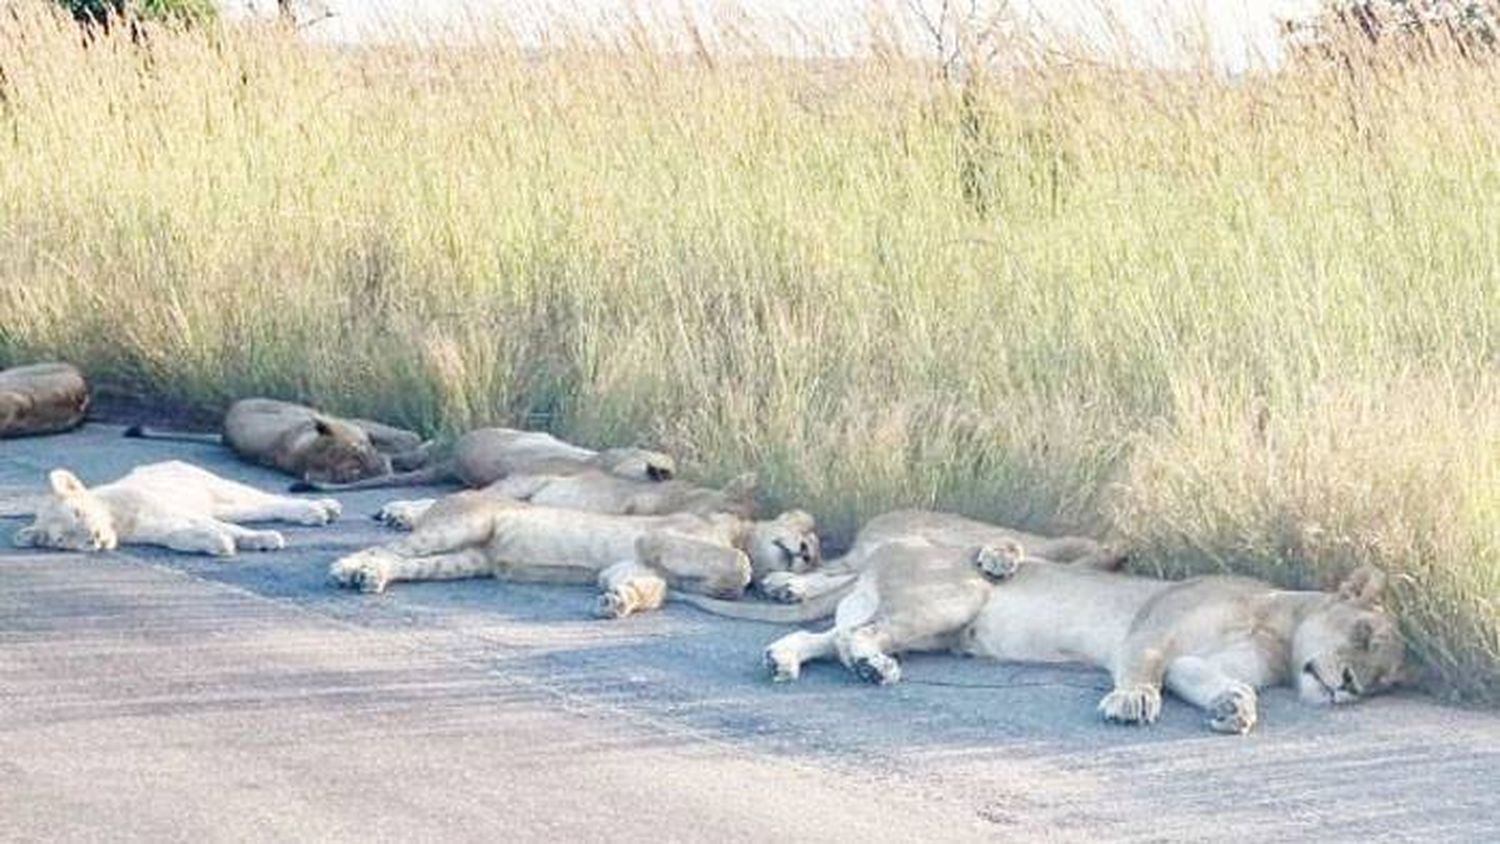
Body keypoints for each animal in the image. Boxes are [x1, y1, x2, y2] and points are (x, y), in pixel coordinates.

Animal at [11, 461, 342, 554]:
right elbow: (183, 537)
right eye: (62, 539)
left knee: (269, 499)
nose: (93, 539)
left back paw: (320, 509)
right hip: (223, 505)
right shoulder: (162, 530)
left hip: (219, 488)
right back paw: (322, 510)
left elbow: (230, 529)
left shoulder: (176, 511)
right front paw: (218, 545)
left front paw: (261, 539)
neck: (119, 521)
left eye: (78, 513)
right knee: (259, 509)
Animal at [125, 398, 432, 485]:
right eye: (353, 469)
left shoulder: (358, 427)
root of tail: (223, 434)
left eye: (360, 450)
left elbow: (401, 439)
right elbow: (405, 442)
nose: (379, 468)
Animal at [328, 488, 822, 620]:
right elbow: (740, 566)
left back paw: (371, 578)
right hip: (465, 523)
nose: (802, 554)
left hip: (464, 560)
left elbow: (645, 589)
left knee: (403, 563)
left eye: (814, 556)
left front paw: (617, 603)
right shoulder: (659, 538)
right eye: (808, 539)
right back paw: (346, 568)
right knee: (386, 546)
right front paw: (733, 580)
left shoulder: (632, 566)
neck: (740, 532)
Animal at [762, 539, 1404, 737]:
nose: (1349, 686)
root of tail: (888, 549)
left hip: (929, 629)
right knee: (856, 635)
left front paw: (1235, 709)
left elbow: (1216, 682)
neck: (1277, 625)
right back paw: (872, 667)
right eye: (1363, 631)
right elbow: (1143, 667)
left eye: (1383, 681)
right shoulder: (1154, 626)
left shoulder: (1195, 663)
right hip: (952, 598)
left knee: (824, 636)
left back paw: (782, 660)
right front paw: (1133, 701)